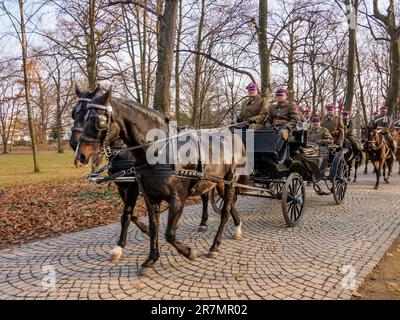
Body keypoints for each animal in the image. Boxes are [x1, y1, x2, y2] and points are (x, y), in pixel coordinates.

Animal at [74, 89, 244, 276]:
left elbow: (168, 233)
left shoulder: (174, 197)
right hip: (217, 183)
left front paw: (188, 251)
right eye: (75, 113)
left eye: (98, 120)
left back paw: (215, 244)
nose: (80, 154)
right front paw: (150, 258)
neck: (160, 150)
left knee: (224, 211)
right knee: (227, 204)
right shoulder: (148, 197)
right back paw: (236, 227)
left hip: (230, 181)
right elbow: (149, 224)